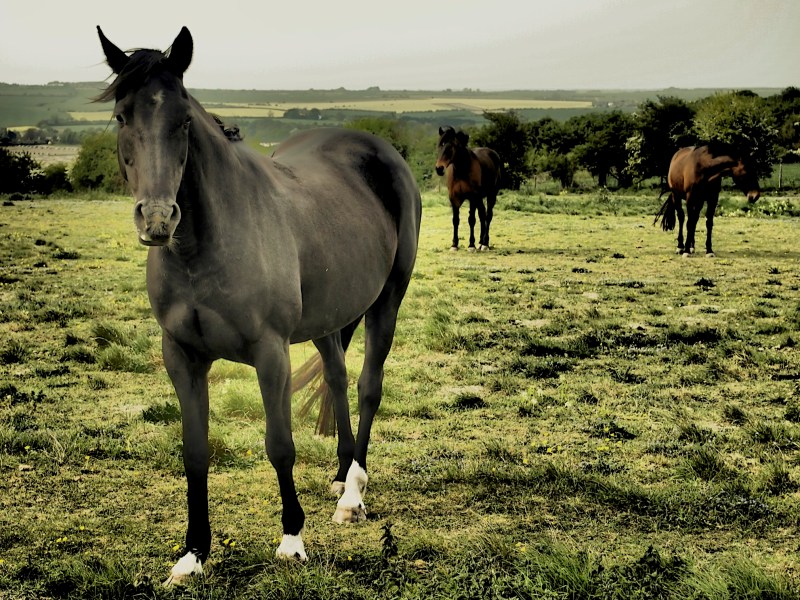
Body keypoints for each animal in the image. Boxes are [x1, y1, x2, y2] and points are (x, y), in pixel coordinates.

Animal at [96, 26, 421, 585]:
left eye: (183, 120)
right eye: (122, 116)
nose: (158, 219)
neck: (201, 250)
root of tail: (381, 151)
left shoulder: (271, 354)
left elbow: (280, 445)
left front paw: (291, 540)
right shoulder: (181, 356)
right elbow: (195, 452)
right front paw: (192, 554)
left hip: (387, 301)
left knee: (367, 386)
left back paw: (353, 495)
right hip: (328, 317)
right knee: (337, 378)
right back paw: (340, 474)